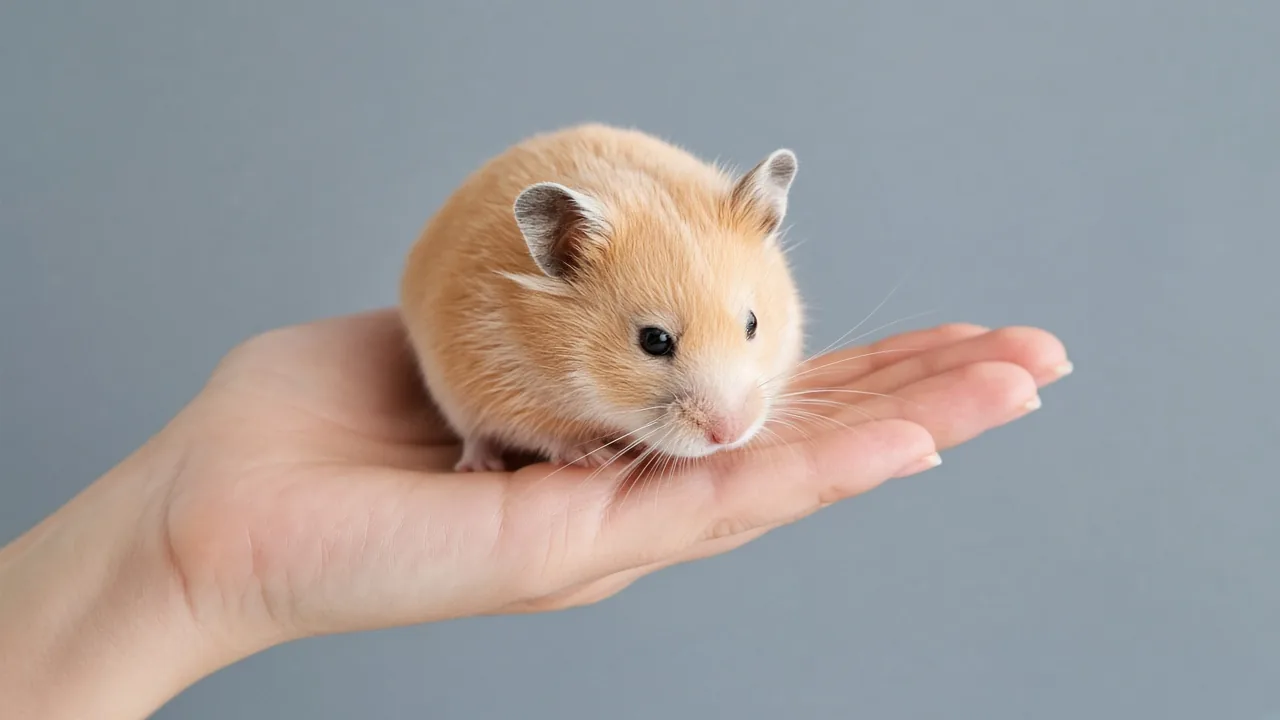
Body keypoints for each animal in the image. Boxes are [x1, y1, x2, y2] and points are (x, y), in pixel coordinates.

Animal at [399, 123, 805, 472]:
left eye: (752, 323)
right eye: (654, 340)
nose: (731, 434)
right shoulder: (493, 377)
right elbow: (540, 431)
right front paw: (594, 454)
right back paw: (479, 465)